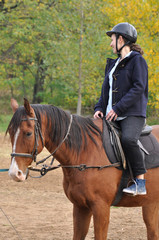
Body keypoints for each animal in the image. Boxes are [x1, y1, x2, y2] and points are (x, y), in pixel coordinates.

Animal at [6, 98, 159, 239]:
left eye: (28, 133)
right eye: (11, 134)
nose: (14, 173)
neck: (86, 152)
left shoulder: (101, 208)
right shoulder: (80, 207)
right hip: (150, 204)